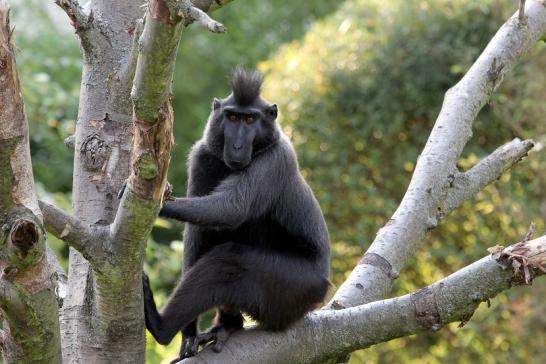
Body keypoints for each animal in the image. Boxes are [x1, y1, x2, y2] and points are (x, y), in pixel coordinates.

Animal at [142, 67, 330, 360]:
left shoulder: (277, 158)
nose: (238, 146)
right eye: (231, 117)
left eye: (250, 119)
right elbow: (198, 233)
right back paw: (229, 325)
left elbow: (233, 208)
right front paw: (189, 335)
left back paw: (160, 326)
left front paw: (159, 203)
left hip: (294, 286)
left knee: (228, 262)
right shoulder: (202, 156)